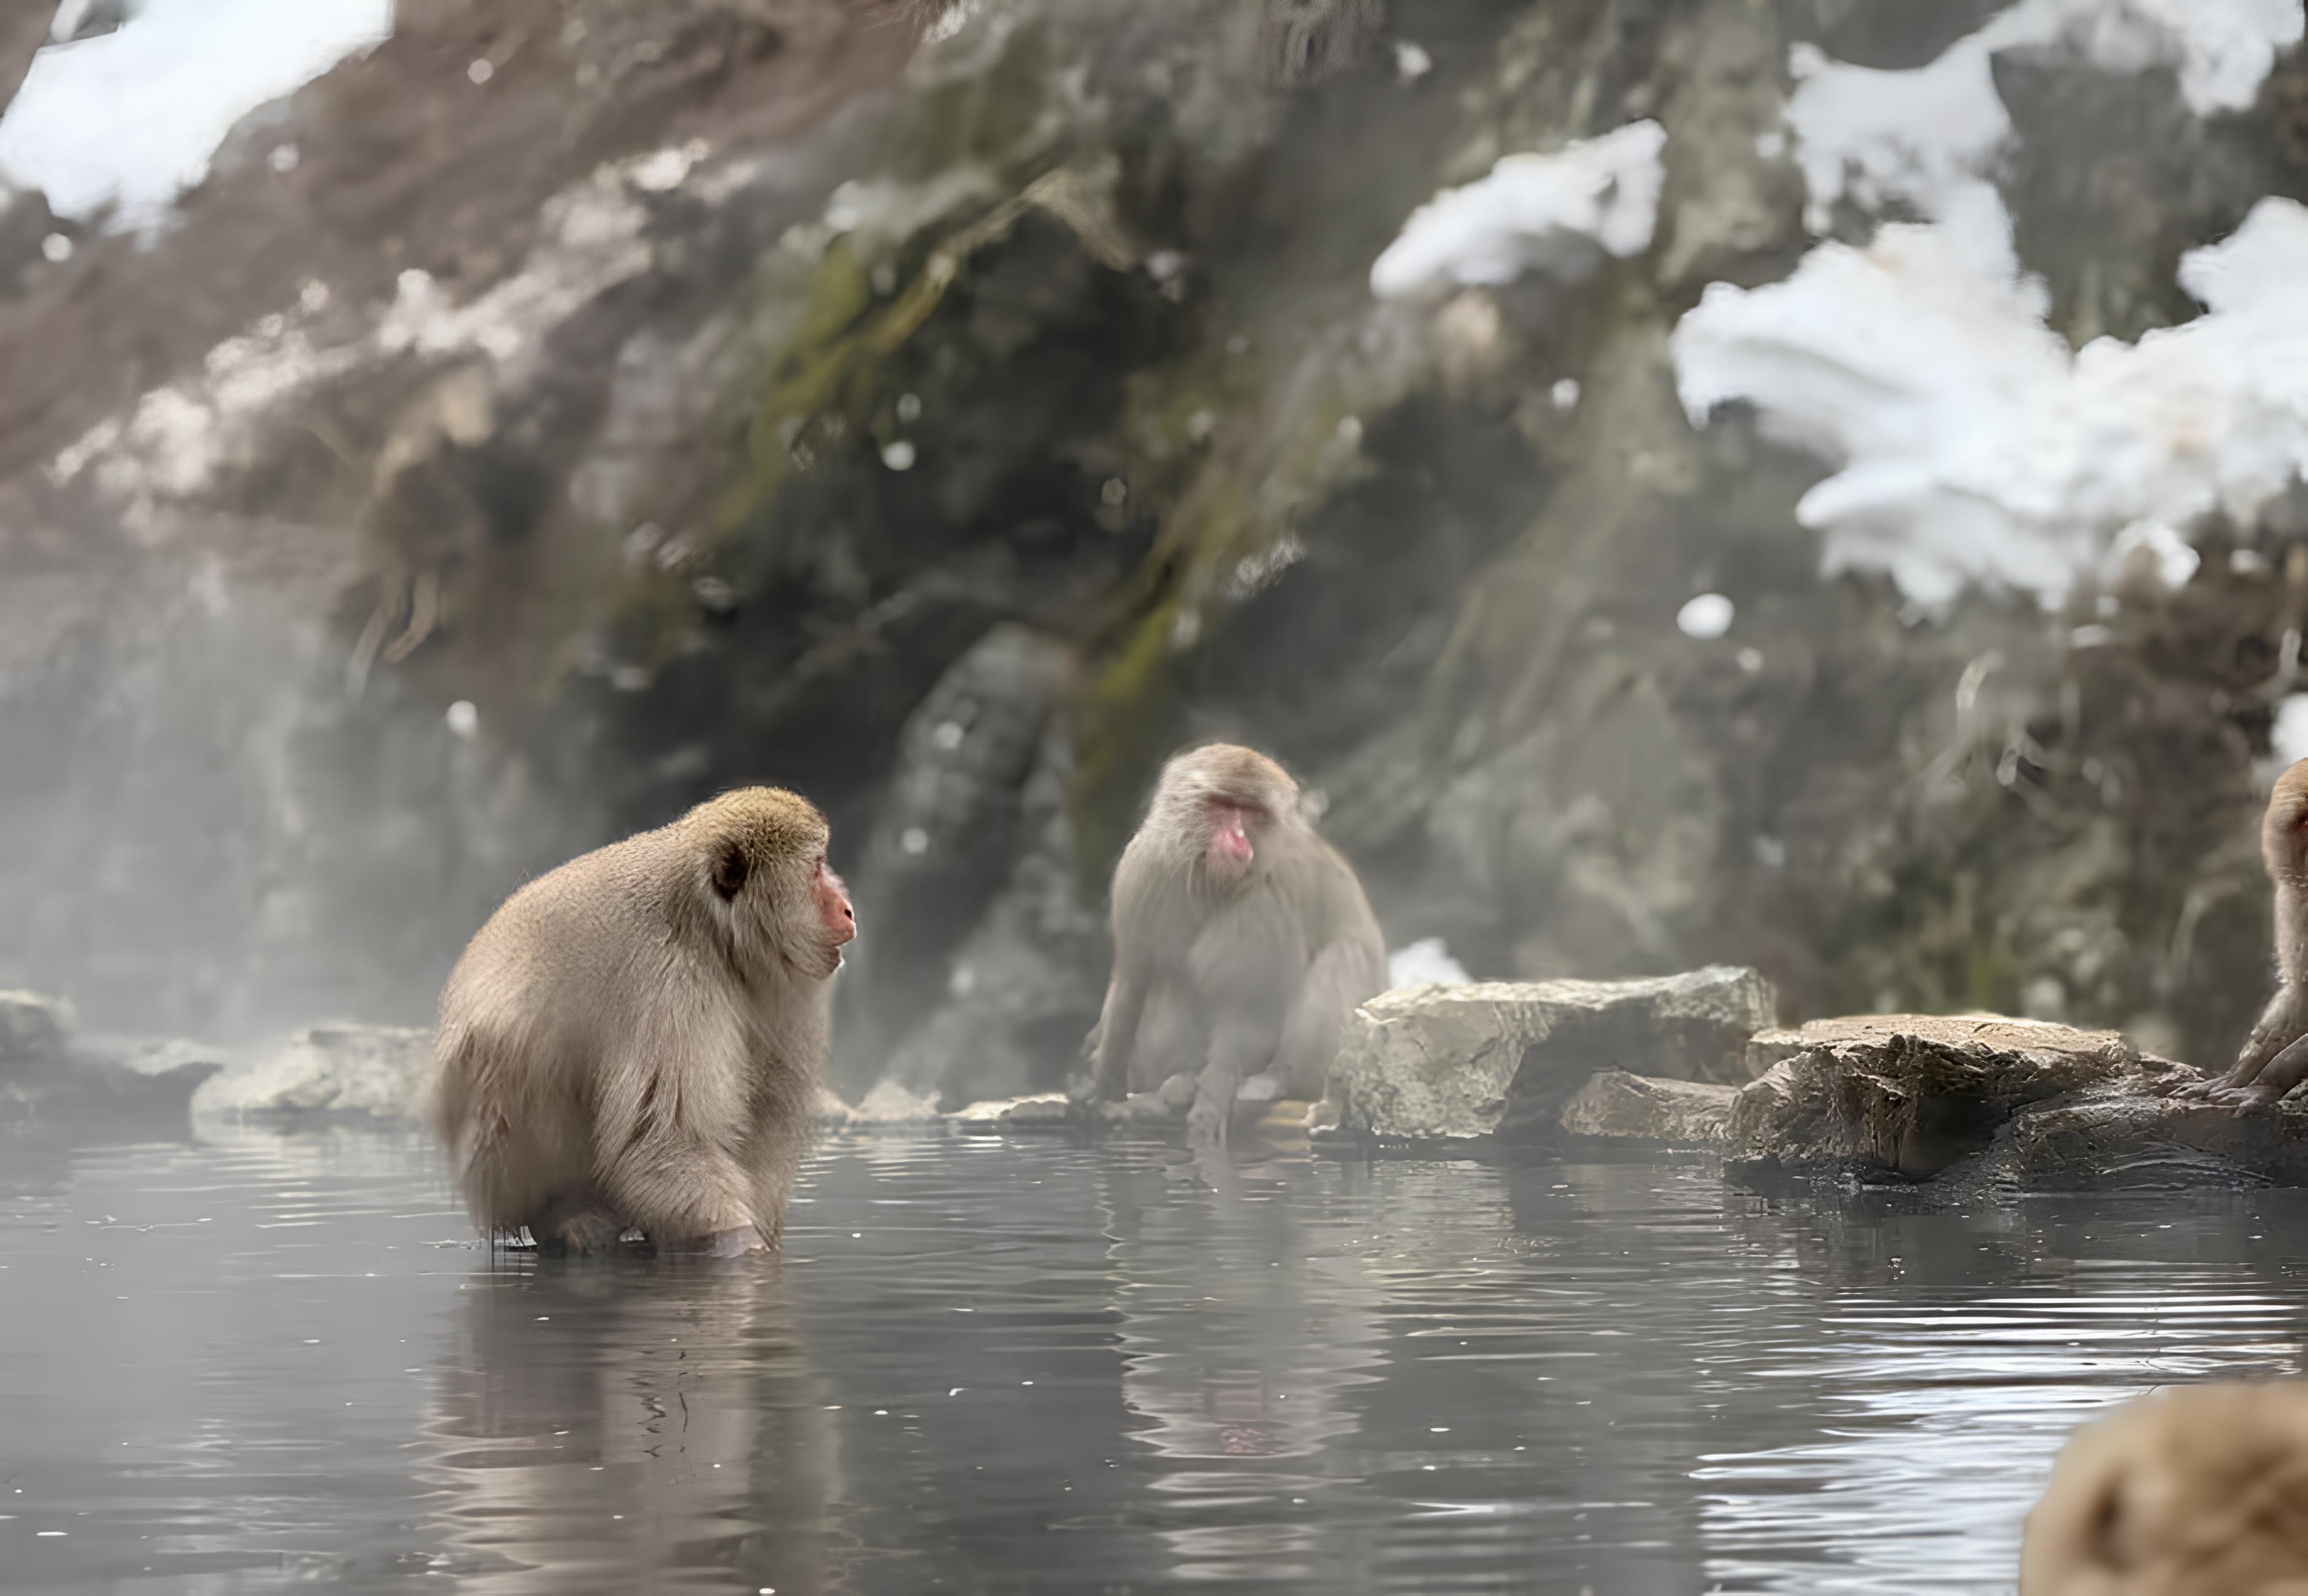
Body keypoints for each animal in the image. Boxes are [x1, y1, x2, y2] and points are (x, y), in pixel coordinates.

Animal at [426, 786, 855, 1257]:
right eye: (816, 868)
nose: (848, 909)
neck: (713, 937)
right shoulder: (669, 987)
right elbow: (663, 1142)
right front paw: (740, 1245)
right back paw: (564, 1213)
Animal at [1090, 743, 1386, 1147]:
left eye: (1252, 811)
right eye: (1225, 805)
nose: (1240, 839)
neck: (1211, 881)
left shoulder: (1266, 900)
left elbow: (1248, 1006)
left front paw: (1213, 1097)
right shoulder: (1141, 869)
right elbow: (1133, 980)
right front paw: (1102, 1082)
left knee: (1342, 956)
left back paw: (1278, 1081)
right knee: (1169, 977)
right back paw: (1181, 1081)